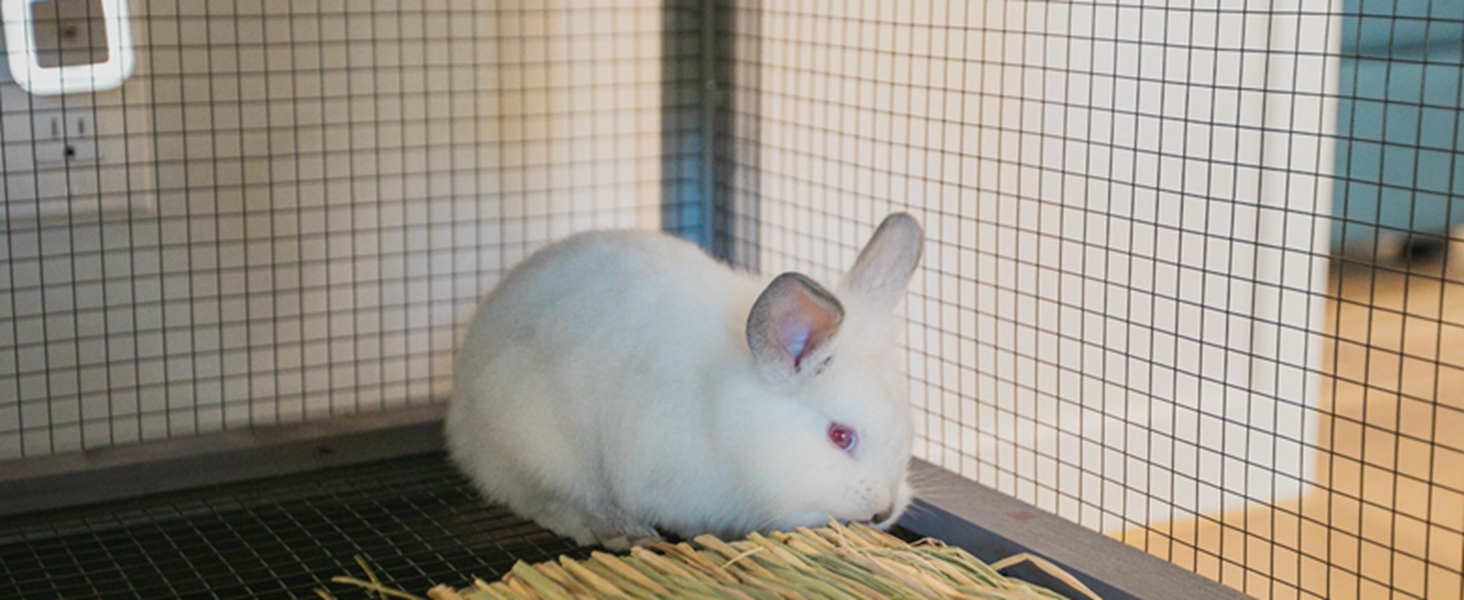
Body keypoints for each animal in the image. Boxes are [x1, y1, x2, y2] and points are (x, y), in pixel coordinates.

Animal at [446, 213, 923, 550]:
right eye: (840, 436)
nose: (883, 510)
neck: (722, 417)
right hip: (539, 439)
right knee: (548, 499)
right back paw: (621, 531)